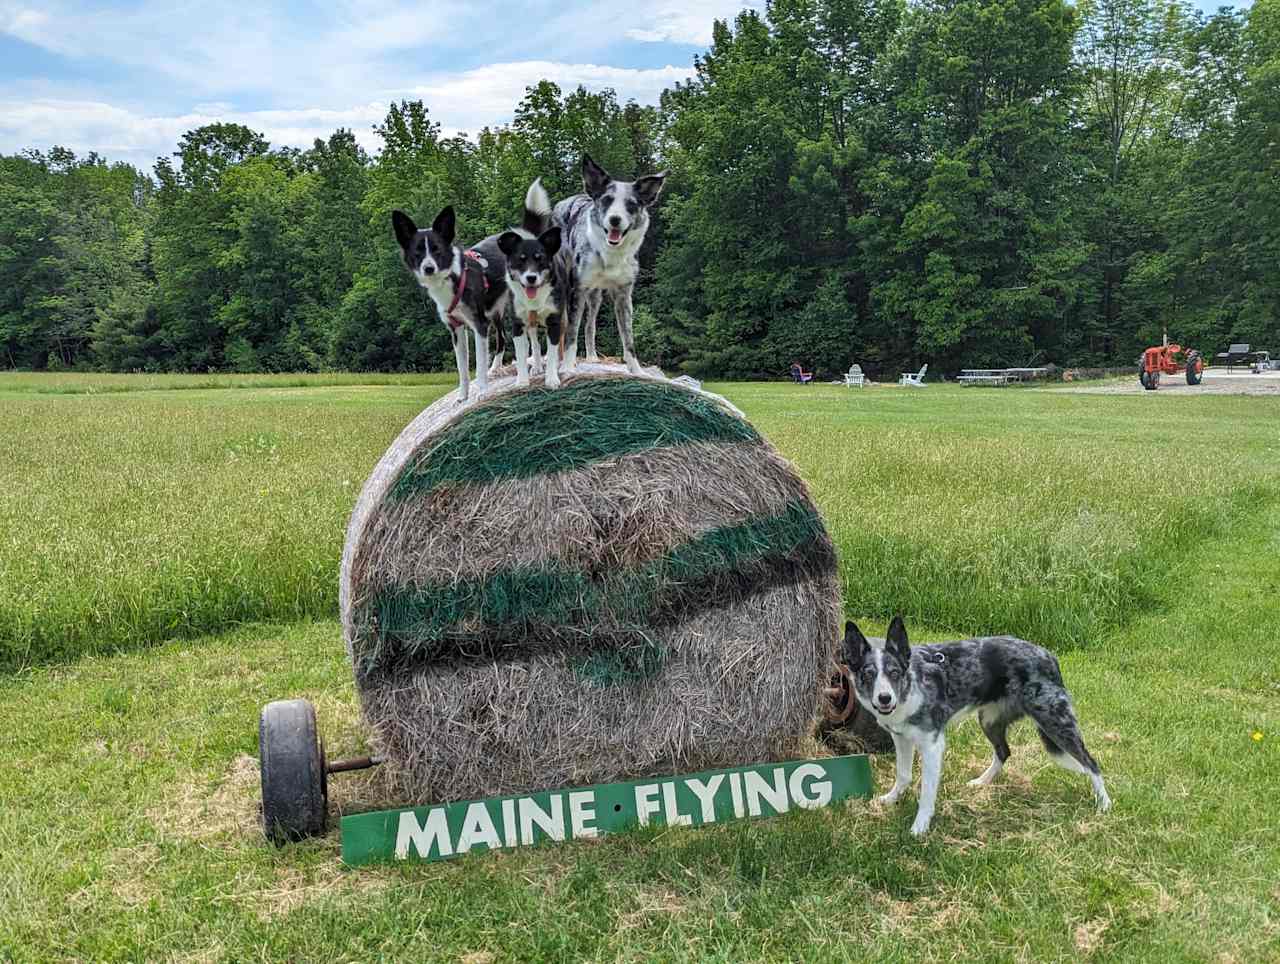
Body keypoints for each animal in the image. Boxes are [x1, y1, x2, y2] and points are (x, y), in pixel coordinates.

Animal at [389, 204, 509, 399]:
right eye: (417, 252)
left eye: (437, 249)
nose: (429, 268)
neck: (452, 279)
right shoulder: (455, 328)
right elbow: (462, 369)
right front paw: (462, 397)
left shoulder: (480, 324)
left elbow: (480, 364)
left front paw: (483, 392)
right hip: (495, 309)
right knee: (503, 337)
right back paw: (497, 368)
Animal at [494, 179, 565, 389]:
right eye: (521, 260)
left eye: (540, 259)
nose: (531, 278)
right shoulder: (517, 324)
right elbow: (521, 354)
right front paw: (522, 381)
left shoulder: (554, 321)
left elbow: (552, 353)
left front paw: (552, 379)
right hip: (530, 323)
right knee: (534, 342)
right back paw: (536, 367)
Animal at [552, 154, 665, 371]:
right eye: (606, 200)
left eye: (631, 205)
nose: (615, 219)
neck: (610, 253)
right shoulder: (577, 291)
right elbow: (571, 333)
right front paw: (568, 367)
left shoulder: (624, 296)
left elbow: (628, 339)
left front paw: (637, 370)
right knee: (561, 328)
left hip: (595, 297)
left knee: (590, 326)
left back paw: (592, 357)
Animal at [839, 617, 1111, 834]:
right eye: (868, 674)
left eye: (894, 672)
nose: (884, 698)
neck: (913, 686)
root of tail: (1048, 655)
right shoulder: (902, 738)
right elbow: (903, 775)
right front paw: (891, 799)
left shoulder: (932, 746)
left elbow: (926, 791)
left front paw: (920, 826)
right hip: (989, 720)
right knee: (1004, 751)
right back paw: (982, 782)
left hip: (1056, 722)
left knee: (1091, 762)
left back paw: (1104, 803)